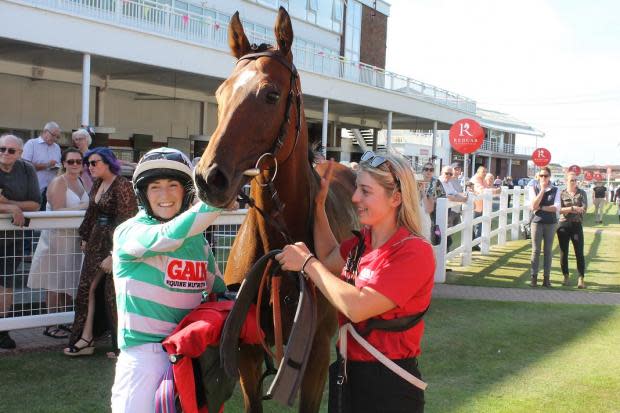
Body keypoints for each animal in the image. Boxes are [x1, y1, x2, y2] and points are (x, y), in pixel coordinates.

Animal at [194, 7, 358, 412]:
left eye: (271, 93)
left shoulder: (314, 356)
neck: (278, 249)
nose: (208, 177)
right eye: (220, 94)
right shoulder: (247, 357)